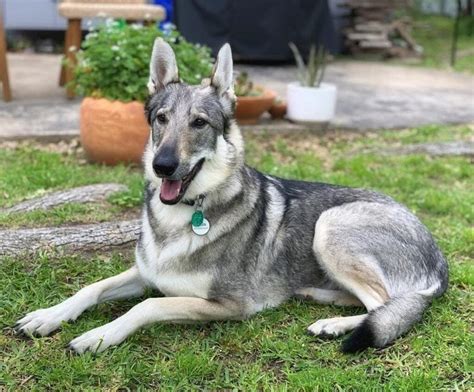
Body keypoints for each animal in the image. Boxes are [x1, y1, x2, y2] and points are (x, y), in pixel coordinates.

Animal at [16, 38, 450, 354]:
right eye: (161, 119)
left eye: (199, 123)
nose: (163, 165)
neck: (184, 215)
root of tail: (440, 262)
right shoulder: (146, 272)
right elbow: (91, 288)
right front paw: (47, 316)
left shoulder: (228, 306)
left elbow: (148, 304)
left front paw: (99, 336)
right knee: (376, 303)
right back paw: (319, 296)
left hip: (330, 226)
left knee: (383, 306)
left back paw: (331, 325)